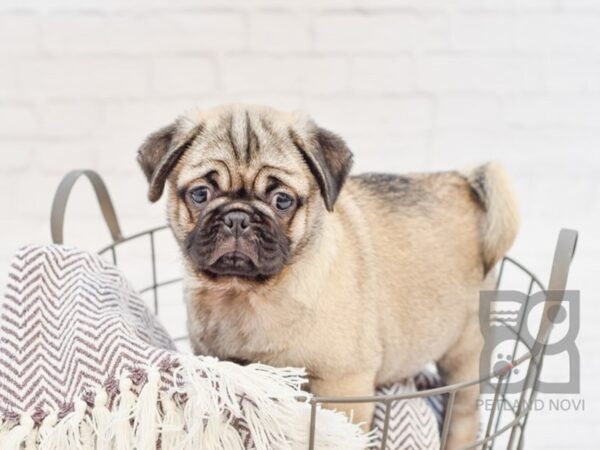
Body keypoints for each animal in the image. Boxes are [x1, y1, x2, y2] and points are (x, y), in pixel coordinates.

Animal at [136, 103, 516, 450]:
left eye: (282, 200)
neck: (246, 294)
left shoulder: (342, 386)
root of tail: (462, 182)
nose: (237, 218)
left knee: (464, 412)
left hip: (465, 353)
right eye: (201, 194)